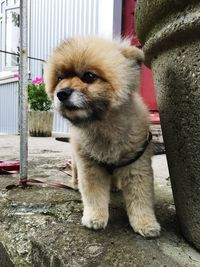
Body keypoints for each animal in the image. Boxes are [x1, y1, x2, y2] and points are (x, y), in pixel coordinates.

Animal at [45, 36, 161, 239]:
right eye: (59, 78)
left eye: (89, 76)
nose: (61, 93)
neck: (103, 125)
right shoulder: (90, 167)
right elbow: (94, 196)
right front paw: (95, 217)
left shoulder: (137, 167)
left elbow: (141, 200)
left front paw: (145, 223)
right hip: (75, 158)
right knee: (74, 171)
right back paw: (74, 184)